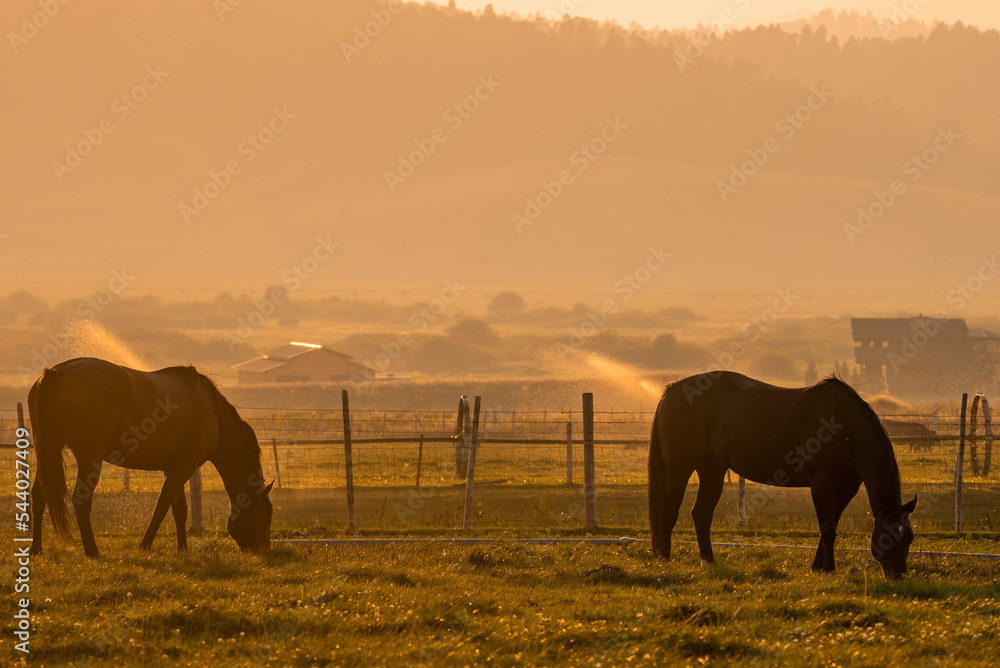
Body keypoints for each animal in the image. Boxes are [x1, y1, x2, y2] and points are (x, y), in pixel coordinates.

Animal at [28, 357, 274, 558]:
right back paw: (92, 551)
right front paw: (145, 545)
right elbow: (162, 506)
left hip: (48, 451)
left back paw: (36, 549)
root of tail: (55, 372)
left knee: (39, 495)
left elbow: (179, 509)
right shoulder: (184, 467)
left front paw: (182, 549)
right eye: (267, 516)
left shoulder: (174, 467)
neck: (212, 413)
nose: (263, 550)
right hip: (89, 458)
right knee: (81, 500)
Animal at [648, 371, 917, 579]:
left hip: (711, 469)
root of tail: (673, 390)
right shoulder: (821, 481)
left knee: (701, 514)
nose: (898, 575)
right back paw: (664, 560)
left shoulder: (846, 487)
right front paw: (829, 570)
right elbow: (828, 528)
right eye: (887, 538)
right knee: (669, 512)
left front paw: (818, 567)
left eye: (910, 538)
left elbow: (831, 525)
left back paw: (708, 561)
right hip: (679, 469)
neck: (843, 426)